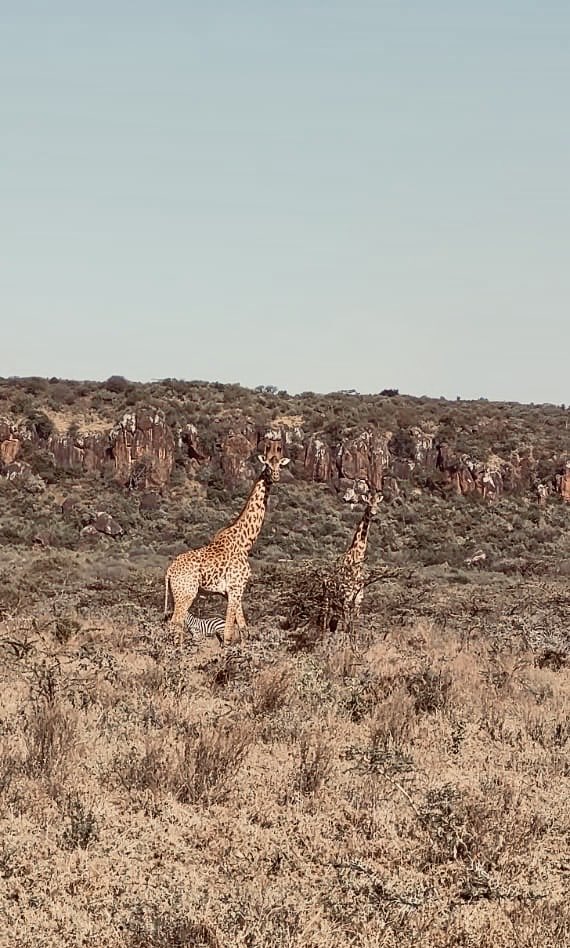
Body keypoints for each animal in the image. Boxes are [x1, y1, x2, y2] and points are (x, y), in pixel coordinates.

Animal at [164, 439, 290, 646]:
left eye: (280, 464)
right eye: (267, 464)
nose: (276, 476)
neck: (245, 542)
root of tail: (169, 571)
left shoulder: (231, 591)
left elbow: (243, 627)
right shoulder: (236, 587)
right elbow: (230, 631)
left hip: (177, 594)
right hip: (186, 593)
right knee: (175, 622)